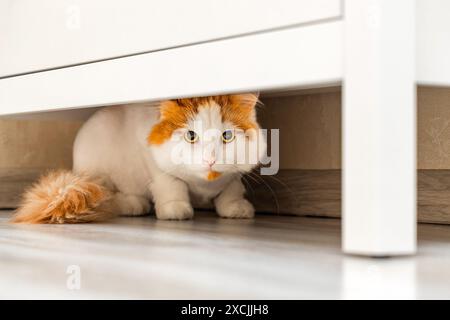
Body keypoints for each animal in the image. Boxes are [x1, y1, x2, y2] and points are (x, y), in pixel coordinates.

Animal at [11, 94, 268, 224]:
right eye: (191, 136)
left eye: (227, 136)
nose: (210, 159)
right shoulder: (154, 162)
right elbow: (172, 186)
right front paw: (175, 209)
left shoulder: (233, 177)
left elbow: (232, 189)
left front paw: (235, 208)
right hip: (100, 173)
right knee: (109, 198)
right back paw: (133, 205)